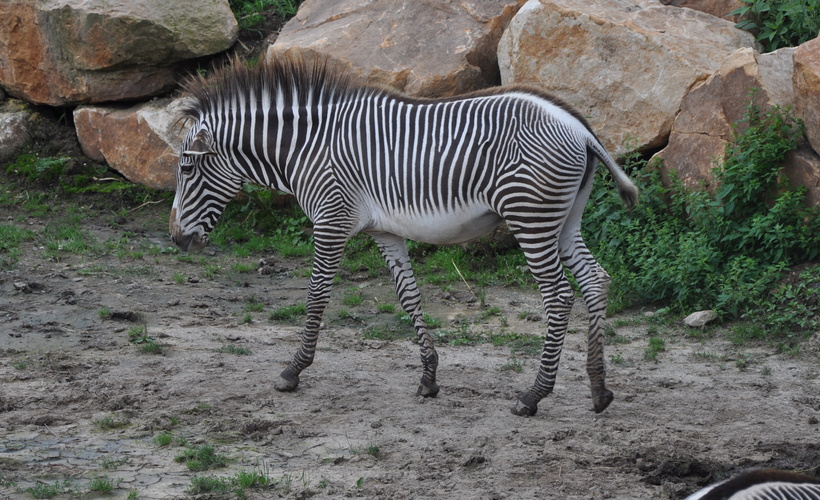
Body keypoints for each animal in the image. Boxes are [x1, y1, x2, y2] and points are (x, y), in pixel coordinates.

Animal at [168, 54, 640, 416]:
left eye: (187, 168)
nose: (175, 239)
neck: (308, 147)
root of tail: (579, 126)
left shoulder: (331, 220)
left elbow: (316, 295)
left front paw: (293, 371)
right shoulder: (384, 231)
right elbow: (408, 296)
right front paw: (429, 378)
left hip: (530, 217)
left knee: (559, 296)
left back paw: (533, 395)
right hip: (564, 219)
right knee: (596, 280)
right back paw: (599, 390)